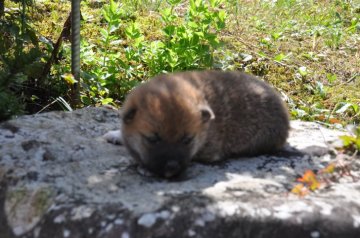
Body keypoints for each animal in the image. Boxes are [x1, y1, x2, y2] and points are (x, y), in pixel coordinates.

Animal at [102, 70, 288, 178]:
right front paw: (116, 134)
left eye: (187, 140)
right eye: (153, 139)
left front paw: (144, 168)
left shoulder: (209, 152)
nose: (172, 167)